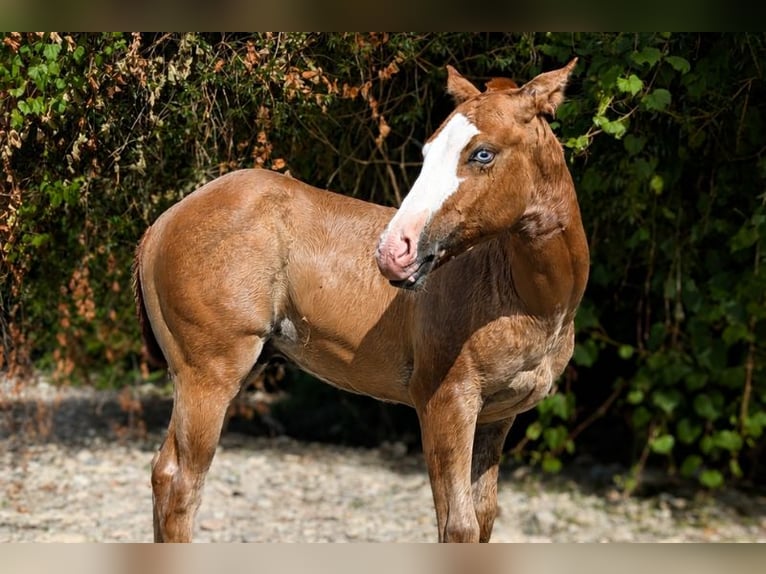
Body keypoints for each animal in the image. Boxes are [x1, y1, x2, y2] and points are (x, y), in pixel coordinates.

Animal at [133, 59, 589, 543]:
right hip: (208, 376)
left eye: (483, 153)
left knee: (164, 473)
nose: (393, 249)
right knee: (182, 483)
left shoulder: (497, 418)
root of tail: (160, 224)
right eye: (427, 152)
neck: (529, 301)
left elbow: (482, 518)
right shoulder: (446, 402)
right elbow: (458, 526)